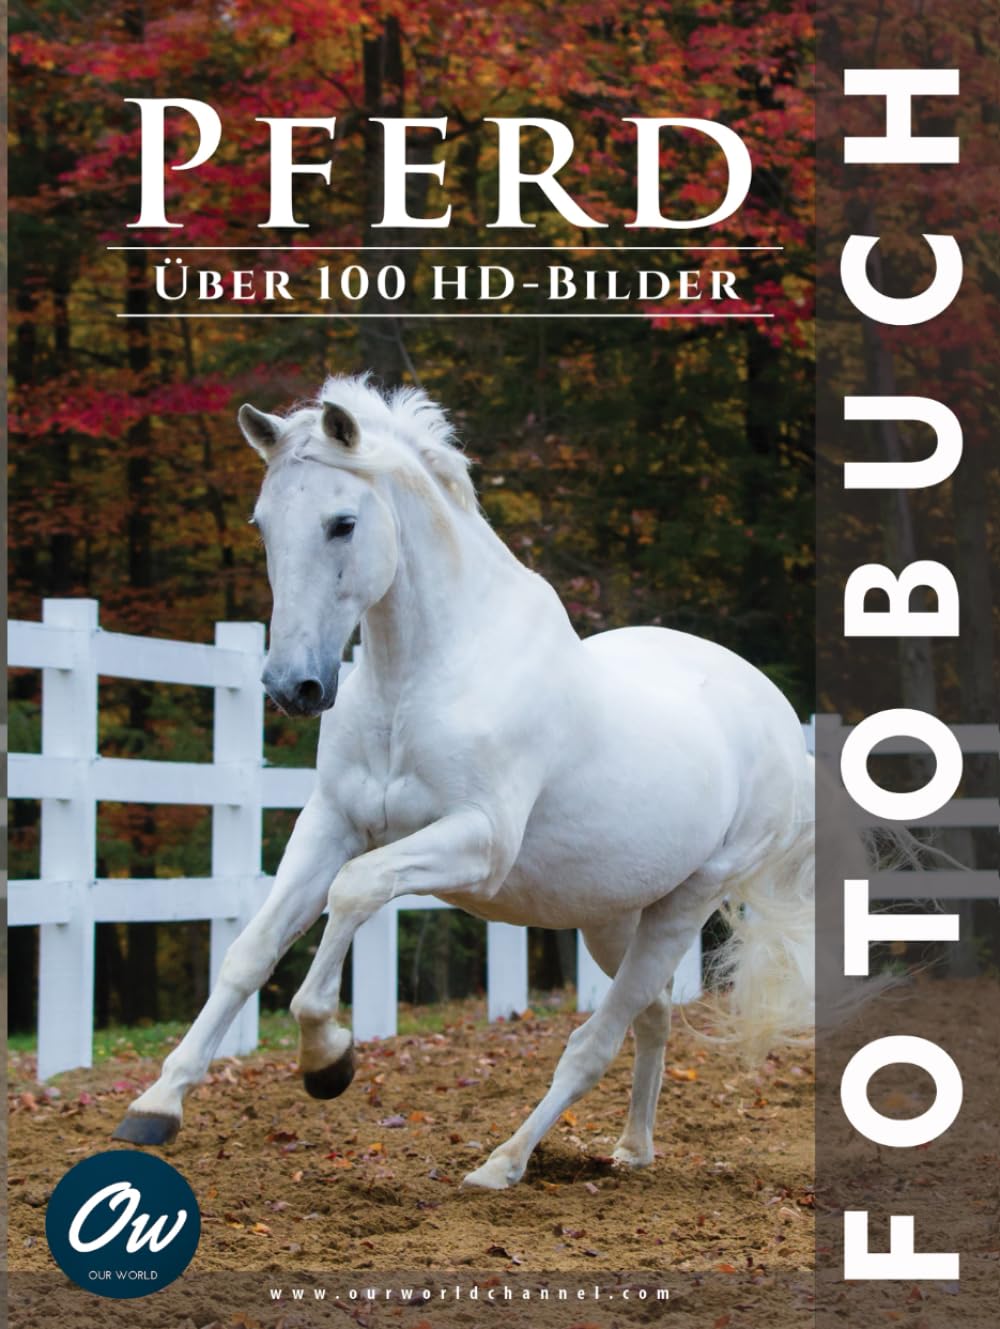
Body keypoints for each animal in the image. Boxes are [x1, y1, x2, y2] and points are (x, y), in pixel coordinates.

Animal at [114, 374, 816, 1189]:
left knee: (594, 1042)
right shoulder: (331, 822)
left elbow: (353, 891)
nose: (293, 687)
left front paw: (328, 1060)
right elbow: (250, 951)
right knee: (653, 1017)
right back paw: (632, 1150)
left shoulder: (478, 844)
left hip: (685, 903)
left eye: (342, 523)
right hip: (613, 915)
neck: (420, 679)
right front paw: (156, 1105)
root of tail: (775, 716)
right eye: (262, 524)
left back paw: (502, 1163)